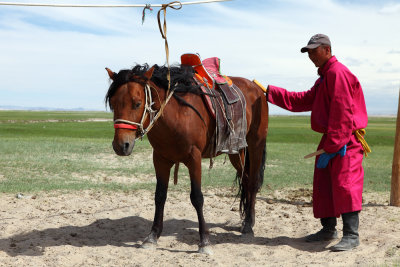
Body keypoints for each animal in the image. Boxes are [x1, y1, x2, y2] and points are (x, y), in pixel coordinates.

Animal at [106, 63, 268, 255]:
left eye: (137, 103)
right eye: (113, 103)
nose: (121, 145)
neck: (177, 114)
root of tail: (256, 88)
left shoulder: (194, 159)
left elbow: (197, 198)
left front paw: (204, 241)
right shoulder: (160, 159)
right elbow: (160, 196)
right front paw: (152, 236)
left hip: (255, 144)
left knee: (253, 183)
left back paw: (249, 225)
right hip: (236, 151)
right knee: (246, 179)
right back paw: (248, 219)